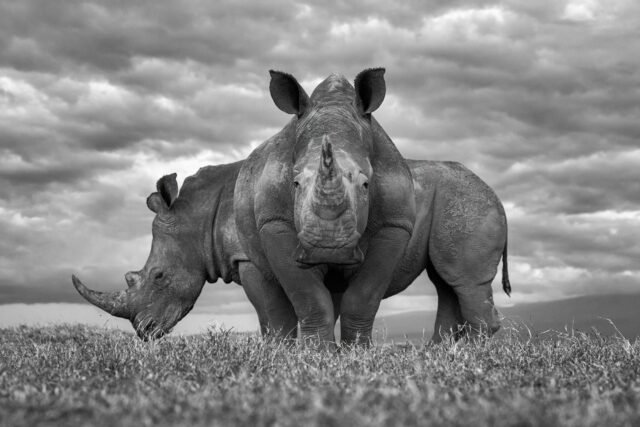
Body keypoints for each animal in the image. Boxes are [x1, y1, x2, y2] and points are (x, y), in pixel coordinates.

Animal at [72, 158, 509, 342]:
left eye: (159, 277)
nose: (144, 332)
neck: (198, 215)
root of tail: (498, 196)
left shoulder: (248, 259)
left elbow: (272, 316)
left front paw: (278, 358)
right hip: (455, 202)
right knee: (446, 282)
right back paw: (441, 357)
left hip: (466, 203)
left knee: (462, 281)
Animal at [234, 68, 508, 345]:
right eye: (295, 183)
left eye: (366, 184)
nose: (327, 248)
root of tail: (494, 193)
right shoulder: (273, 221)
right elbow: (309, 298)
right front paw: (320, 351)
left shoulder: (394, 225)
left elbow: (363, 297)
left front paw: (355, 350)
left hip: (467, 200)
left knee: (461, 280)